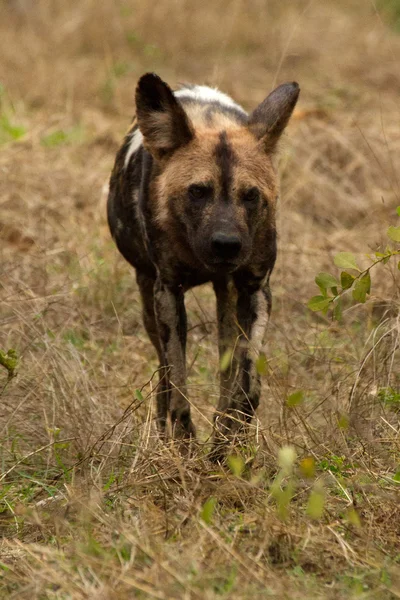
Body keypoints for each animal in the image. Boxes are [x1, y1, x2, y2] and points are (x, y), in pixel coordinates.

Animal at [108, 71, 298, 454]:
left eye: (250, 195)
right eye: (197, 191)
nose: (226, 245)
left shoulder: (255, 290)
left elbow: (247, 389)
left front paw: (226, 448)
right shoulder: (168, 292)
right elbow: (178, 388)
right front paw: (186, 450)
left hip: (228, 301)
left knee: (228, 367)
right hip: (149, 300)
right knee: (165, 375)